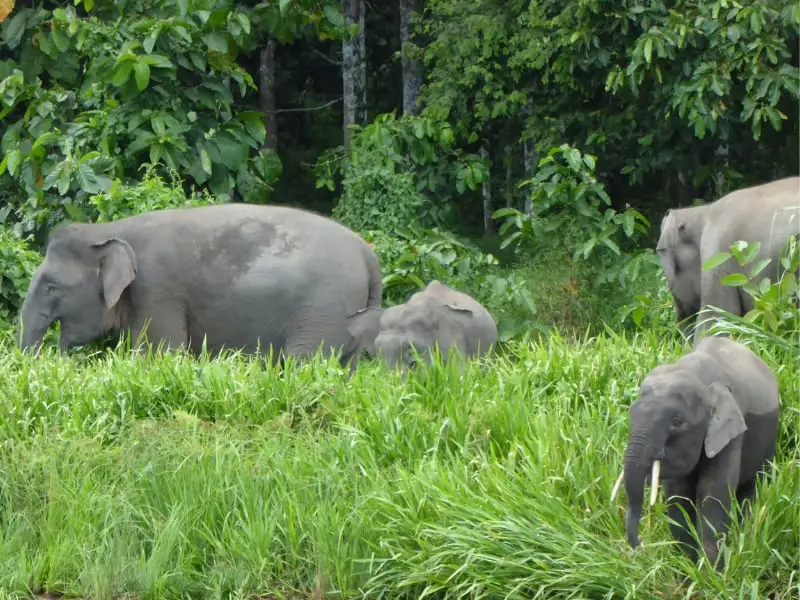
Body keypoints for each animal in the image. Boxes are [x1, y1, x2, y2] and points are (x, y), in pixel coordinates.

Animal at [16, 204, 384, 368]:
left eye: (51, 287)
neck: (108, 228)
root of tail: (368, 255)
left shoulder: (158, 288)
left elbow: (160, 354)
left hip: (323, 310)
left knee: (304, 363)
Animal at [608, 338, 780, 572]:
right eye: (630, 415)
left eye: (677, 421)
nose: (641, 547)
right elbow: (678, 497)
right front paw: (687, 570)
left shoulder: (731, 432)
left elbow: (713, 495)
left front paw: (710, 574)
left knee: (753, 488)